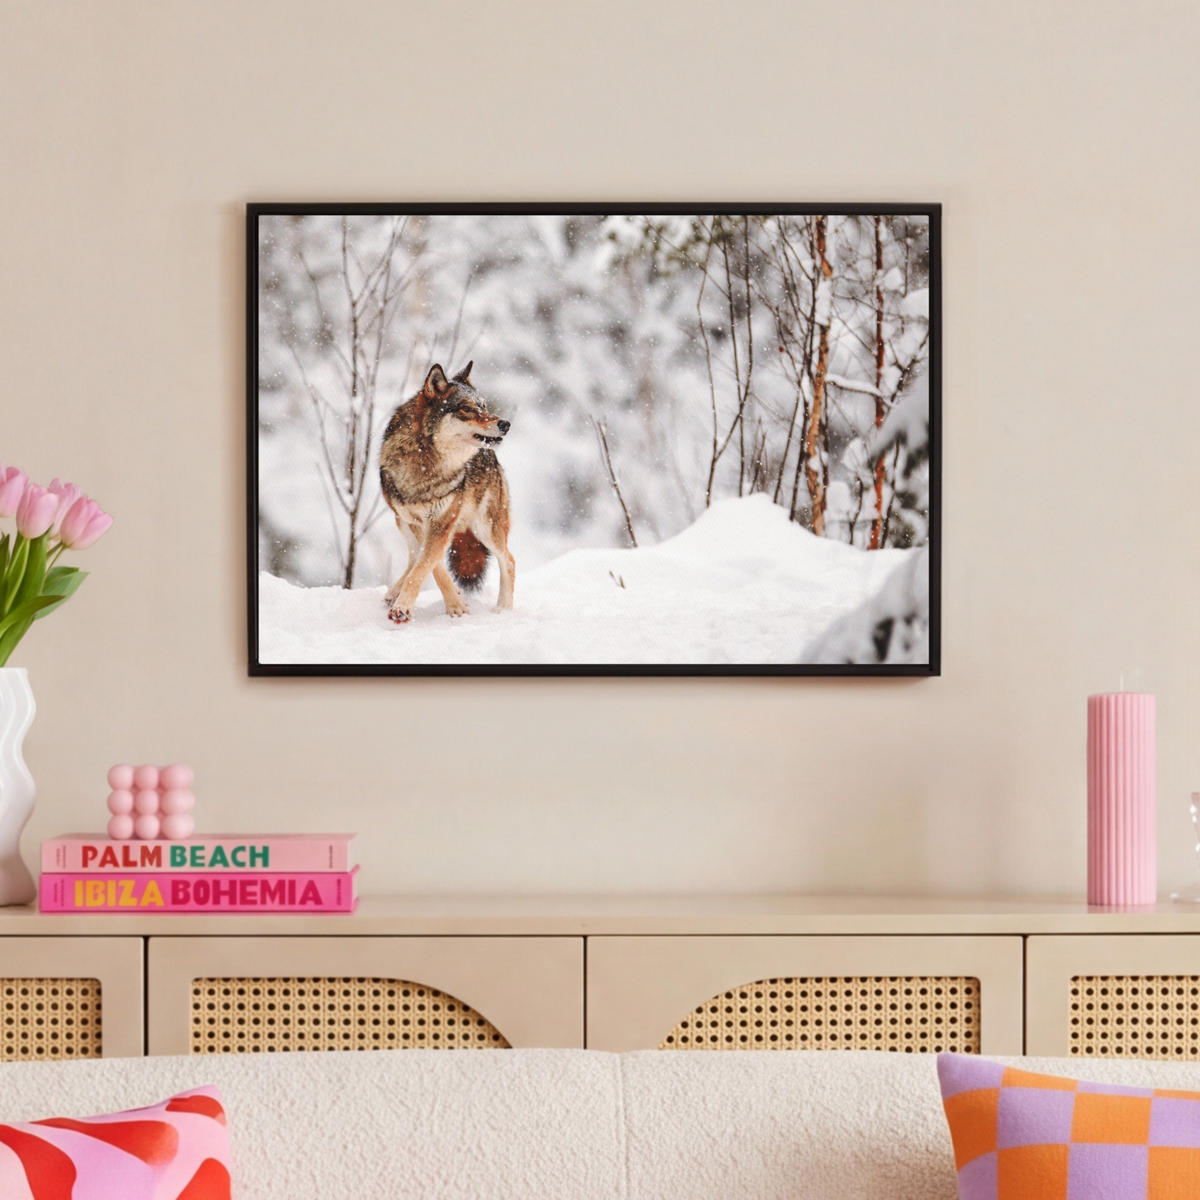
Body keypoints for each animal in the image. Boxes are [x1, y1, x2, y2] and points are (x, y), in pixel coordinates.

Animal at [378, 362, 515, 624]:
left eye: (484, 406)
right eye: (467, 409)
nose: (505, 424)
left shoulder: (441, 522)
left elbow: (425, 566)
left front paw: (405, 608)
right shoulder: (418, 522)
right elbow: (431, 565)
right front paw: (455, 603)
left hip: (486, 528)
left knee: (509, 560)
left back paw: (503, 610)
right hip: (402, 522)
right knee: (413, 557)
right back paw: (393, 592)